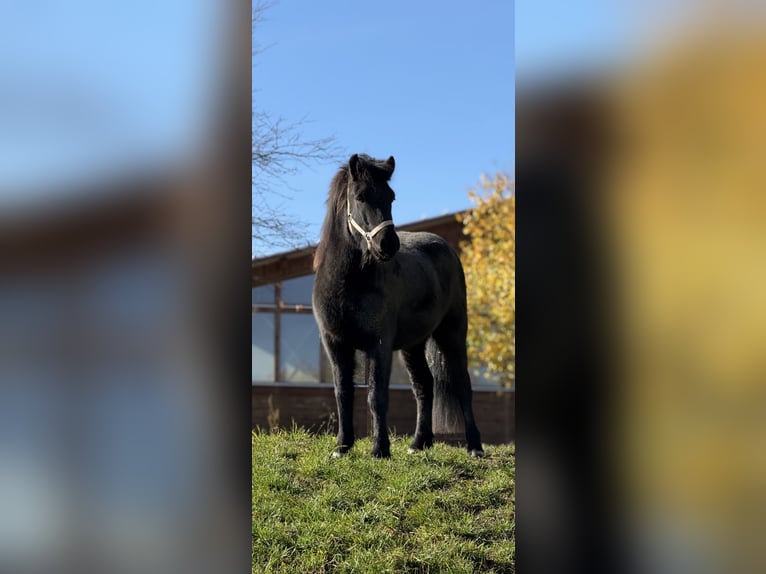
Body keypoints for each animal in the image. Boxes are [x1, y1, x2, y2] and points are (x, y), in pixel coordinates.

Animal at [312, 153, 483, 458]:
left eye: (390, 196)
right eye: (360, 196)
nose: (388, 244)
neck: (348, 284)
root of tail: (446, 248)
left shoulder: (378, 345)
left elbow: (376, 396)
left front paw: (380, 449)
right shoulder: (335, 344)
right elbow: (343, 392)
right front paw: (342, 447)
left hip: (451, 334)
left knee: (462, 385)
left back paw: (475, 446)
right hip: (413, 345)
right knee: (424, 385)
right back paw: (419, 443)